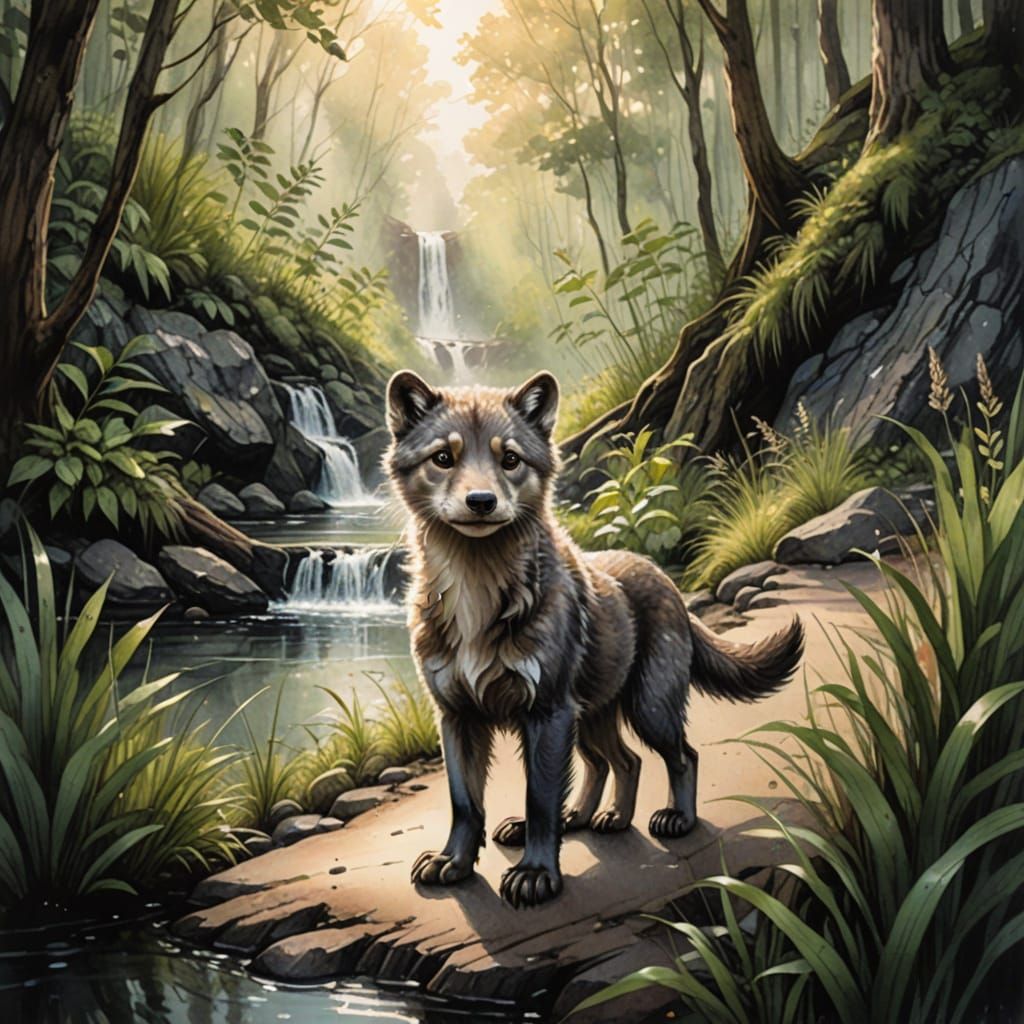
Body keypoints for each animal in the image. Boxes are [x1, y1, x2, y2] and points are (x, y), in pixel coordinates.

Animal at [385, 369, 804, 908]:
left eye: (510, 459)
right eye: (443, 457)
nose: (481, 502)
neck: (476, 589)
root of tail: (662, 577)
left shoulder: (546, 712)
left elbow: (540, 799)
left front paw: (536, 875)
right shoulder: (457, 716)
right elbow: (465, 802)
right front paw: (452, 864)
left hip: (645, 708)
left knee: (679, 756)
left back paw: (676, 819)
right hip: (590, 718)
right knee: (618, 763)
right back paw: (596, 818)